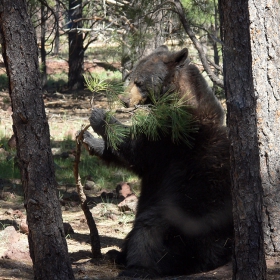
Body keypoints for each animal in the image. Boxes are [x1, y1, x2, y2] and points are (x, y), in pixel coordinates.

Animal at [82, 46, 232, 278]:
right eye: (131, 76)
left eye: (139, 81)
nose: (124, 100)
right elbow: (136, 162)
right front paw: (91, 140)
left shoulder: (173, 138)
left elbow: (137, 150)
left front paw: (100, 117)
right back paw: (116, 254)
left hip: (185, 215)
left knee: (150, 231)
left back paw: (136, 267)